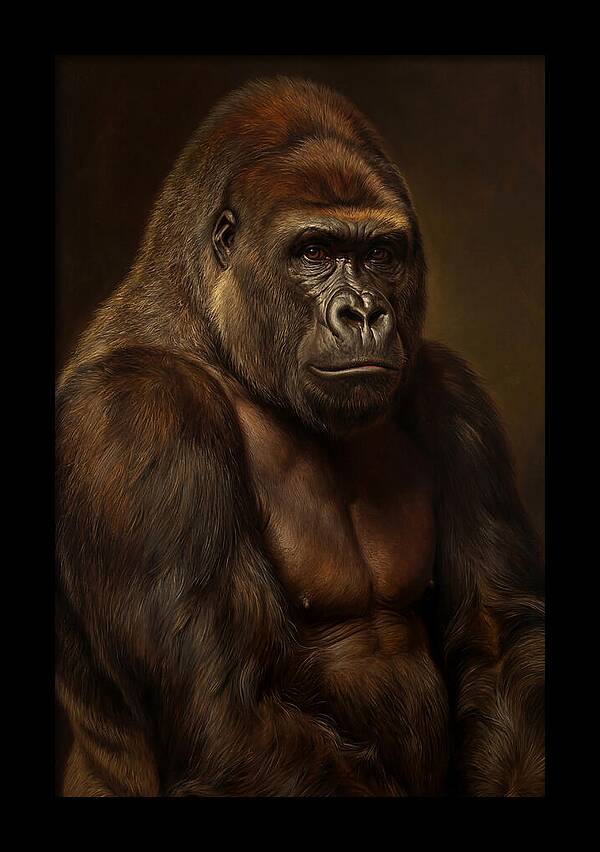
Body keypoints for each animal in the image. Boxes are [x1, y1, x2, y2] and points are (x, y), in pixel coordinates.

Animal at [55, 76, 544, 797]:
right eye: (314, 252)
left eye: (379, 254)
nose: (364, 312)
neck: (214, 334)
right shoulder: (138, 413)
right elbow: (226, 711)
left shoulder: (453, 397)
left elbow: (499, 638)